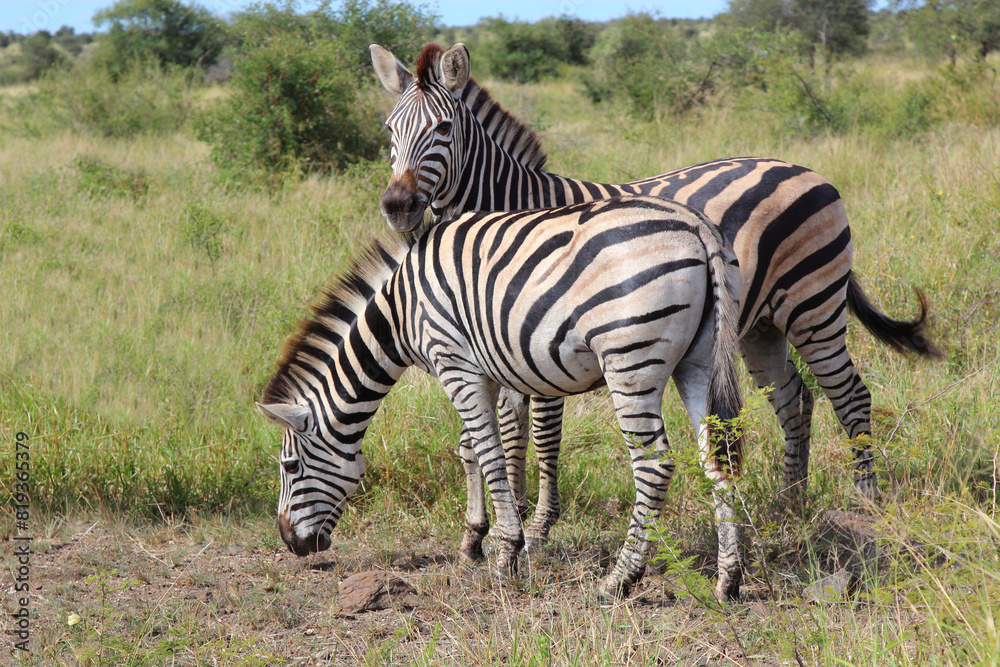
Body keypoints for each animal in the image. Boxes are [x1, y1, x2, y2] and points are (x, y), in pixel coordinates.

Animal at [262, 196, 748, 604]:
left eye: (290, 466)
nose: (290, 543)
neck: (401, 311)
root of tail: (696, 225)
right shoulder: (485, 370)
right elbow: (471, 450)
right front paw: (475, 539)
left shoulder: (455, 364)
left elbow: (490, 455)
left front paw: (505, 556)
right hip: (699, 362)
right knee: (716, 459)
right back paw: (728, 580)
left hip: (630, 359)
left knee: (654, 464)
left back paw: (619, 579)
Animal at [372, 44, 940, 552]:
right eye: (389, 132)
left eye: (442, 130)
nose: (397, 206)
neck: (508, 211)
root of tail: (803, 169)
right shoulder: (493, 339)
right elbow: (488, 439)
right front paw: (488, 529)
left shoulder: (537, 341)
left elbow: (539, 437)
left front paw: (534, 530)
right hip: (760, 324)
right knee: (793, 396)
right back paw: (790, 503)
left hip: (814, 304)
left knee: (850, 394)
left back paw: (865, 500)